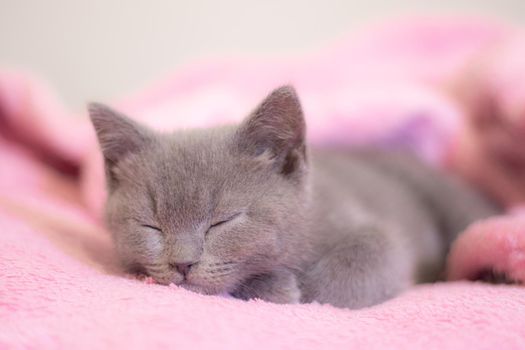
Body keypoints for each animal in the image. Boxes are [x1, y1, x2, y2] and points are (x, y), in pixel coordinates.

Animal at [88, 86, 498, 308]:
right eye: (151, 225)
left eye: (223, 221)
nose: (182, 263)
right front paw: (271, 285)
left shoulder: (367, 227)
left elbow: (367, 260)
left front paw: (299, 290)